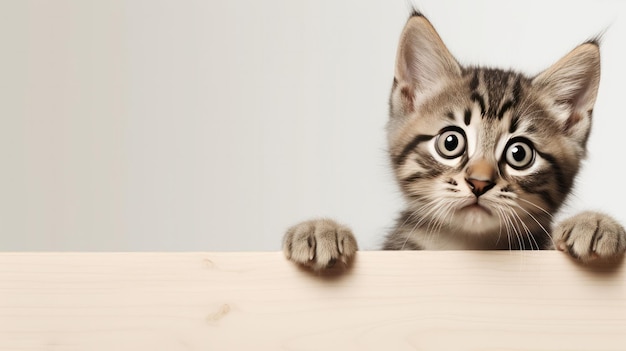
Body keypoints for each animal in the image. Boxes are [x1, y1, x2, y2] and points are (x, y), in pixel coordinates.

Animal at [282, 10, 624, 270]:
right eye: (450, 143)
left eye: (519, 153)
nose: (479, 183)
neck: (465, 246)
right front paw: (319, 229)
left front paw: (594, 224)